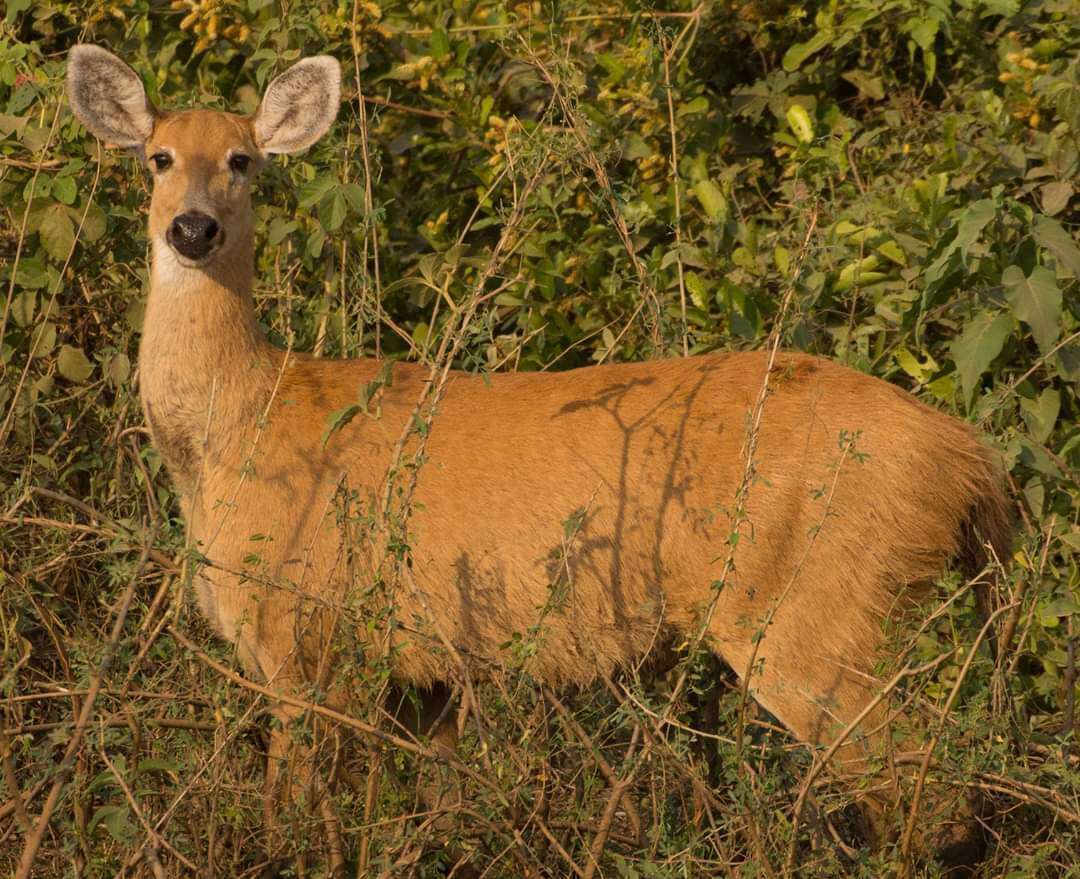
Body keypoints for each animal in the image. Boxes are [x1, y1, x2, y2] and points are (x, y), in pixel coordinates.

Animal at [67, 42, 1010, 872]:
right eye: (157, 157)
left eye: (244, 160)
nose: (193, 228)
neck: (242, 426)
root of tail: (969, 458)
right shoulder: (424, 676)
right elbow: (438, 812)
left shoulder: (306, 637)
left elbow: (292, 820)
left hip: (813, 610)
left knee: (931, 793)